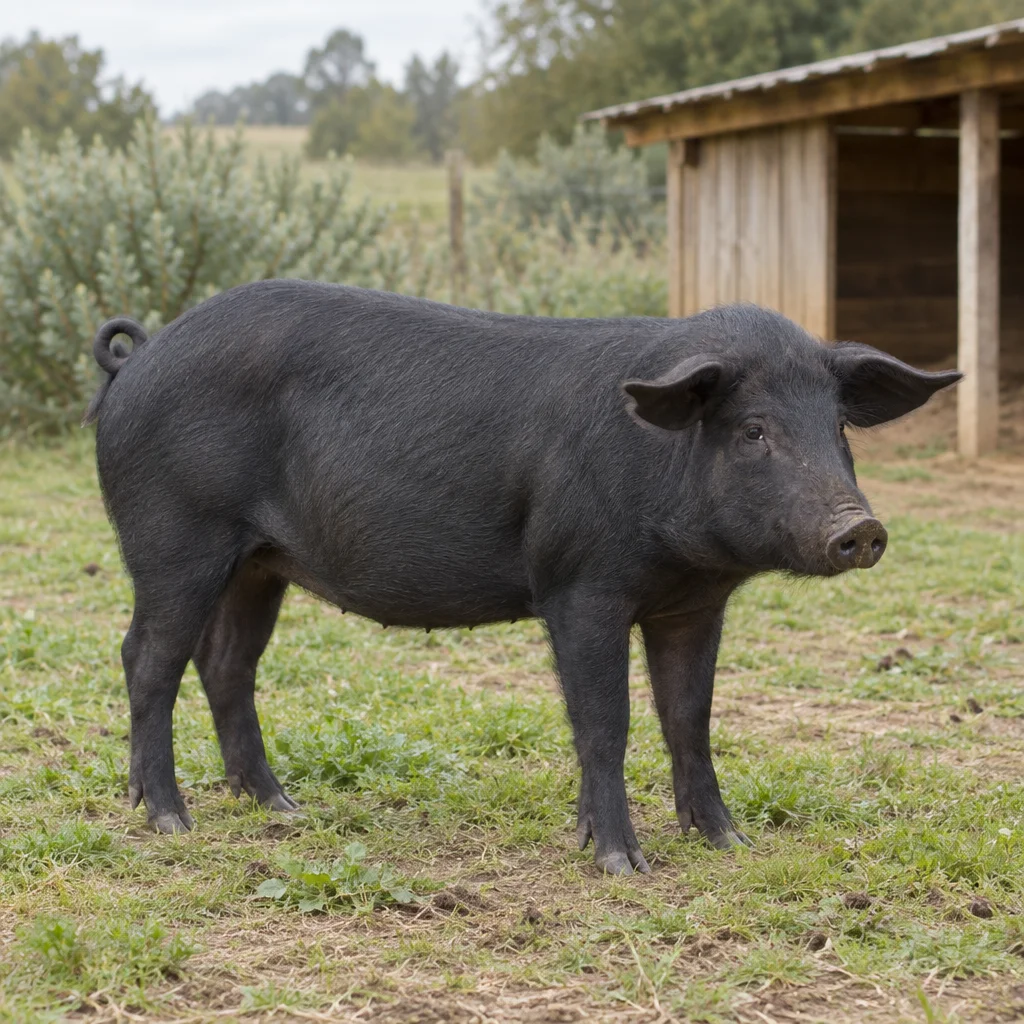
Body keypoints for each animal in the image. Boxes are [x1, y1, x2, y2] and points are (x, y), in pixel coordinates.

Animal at [86, 281, 960, 874]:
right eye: (753, 431)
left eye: (839, 426)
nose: (859, 527)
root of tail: (137, 361)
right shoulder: (580, 588)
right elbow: (605, 723)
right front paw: (622, 865)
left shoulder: (692, 606)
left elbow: (690, 720)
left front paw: (729, 842)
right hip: (174, 537)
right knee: (146, 659)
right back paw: (170, 821)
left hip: (259, 562)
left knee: (226, 664)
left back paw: (282, 808)